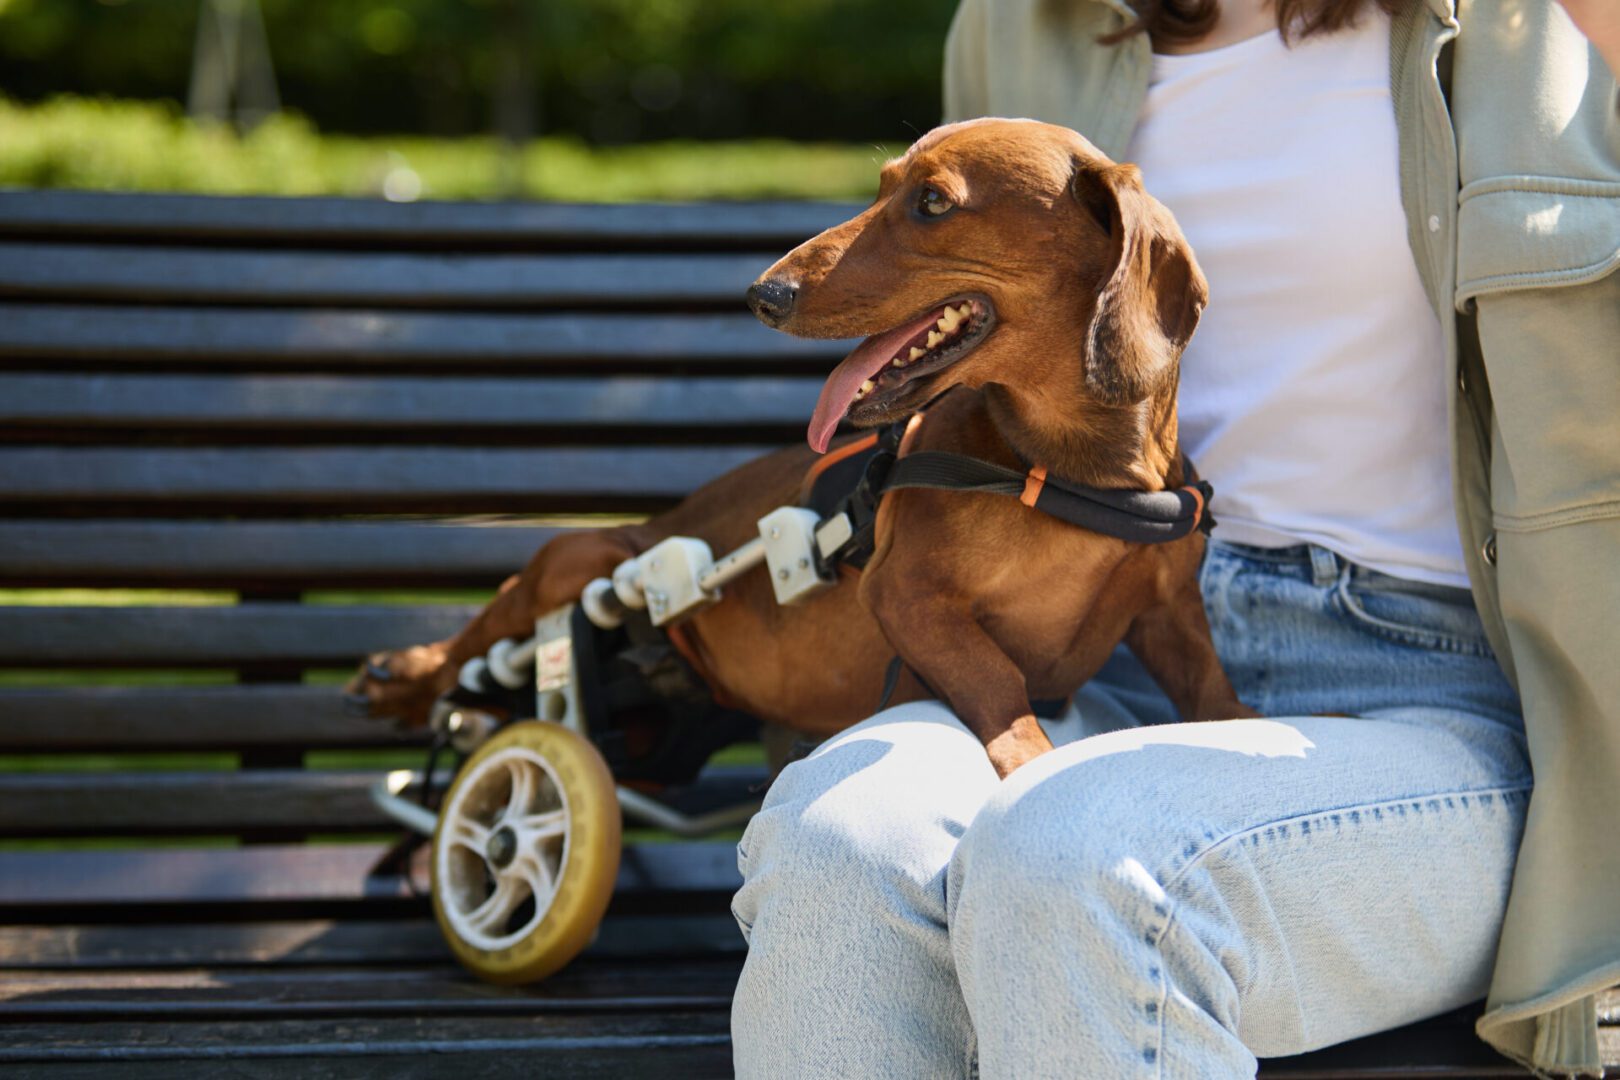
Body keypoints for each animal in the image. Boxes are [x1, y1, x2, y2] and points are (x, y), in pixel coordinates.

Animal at [345, 118, 1250, 777]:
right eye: (883, 187)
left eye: (932, 202)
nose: (761, 294)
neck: (1064, 473)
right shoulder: (906, 594)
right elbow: (999, 684)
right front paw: (1032, 762)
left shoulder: (1172, 618)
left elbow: (1219, 696)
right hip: (580, 560)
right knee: (477, 641)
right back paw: (403, 676)